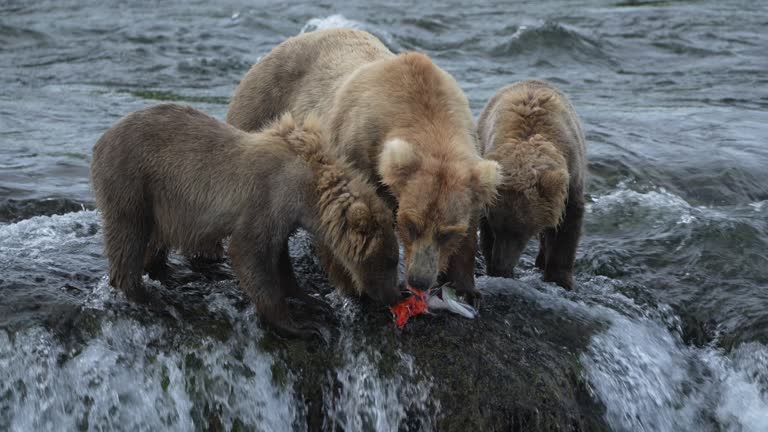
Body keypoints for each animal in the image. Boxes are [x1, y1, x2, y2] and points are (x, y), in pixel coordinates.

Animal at [91, 104, 402, 338]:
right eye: (390, 260)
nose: (396, 296)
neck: (308, 190)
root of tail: (101, 140)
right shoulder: (267, 199)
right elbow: (250, 254)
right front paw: (302, 326)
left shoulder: (282, 216)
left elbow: (279, 259)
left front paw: (313, 300)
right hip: (134, 180)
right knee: (128, 233)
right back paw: (154, 299)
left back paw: (172, 273)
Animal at [480, 80, 588, 290]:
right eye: (496, 228)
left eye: (521, 232)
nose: (500, 266)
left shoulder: (571, 178)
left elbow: (568, 227)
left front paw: (560, 278)